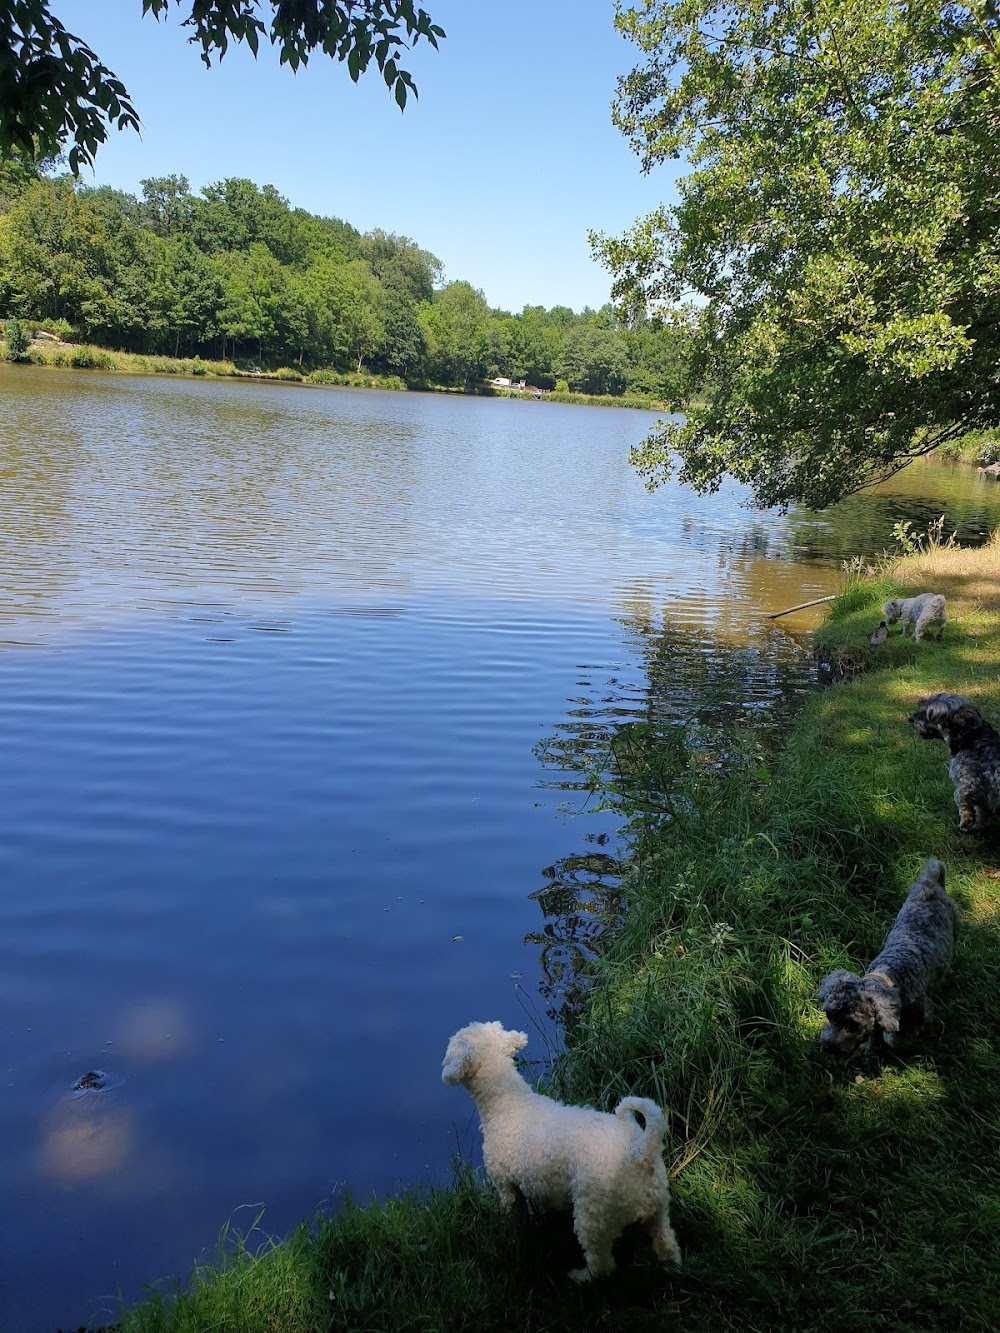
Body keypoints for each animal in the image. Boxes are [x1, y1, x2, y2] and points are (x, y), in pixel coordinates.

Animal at [445, 1018, 688, 1279]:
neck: (508, 1102)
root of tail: (640, 1153)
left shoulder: (505, 1184)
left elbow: (515, 1216)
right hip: (659, 1208)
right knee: (667, 1245)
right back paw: (671, 1267)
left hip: (592, 1217)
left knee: (602, 1265)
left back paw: (580, 1276)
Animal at [821, 863, 965, 1061]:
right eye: (829, 1015)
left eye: (851, 1025)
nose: (827, 1047)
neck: (892, 971)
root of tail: (931, 881)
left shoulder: (917, 1013)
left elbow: (895, 1037)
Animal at [906, 693, 1000, 826]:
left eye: (928, 713)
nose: (910, 719)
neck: (973, 737)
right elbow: (981, 810)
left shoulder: (968, 785)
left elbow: (964, 805)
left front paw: (966, 823)